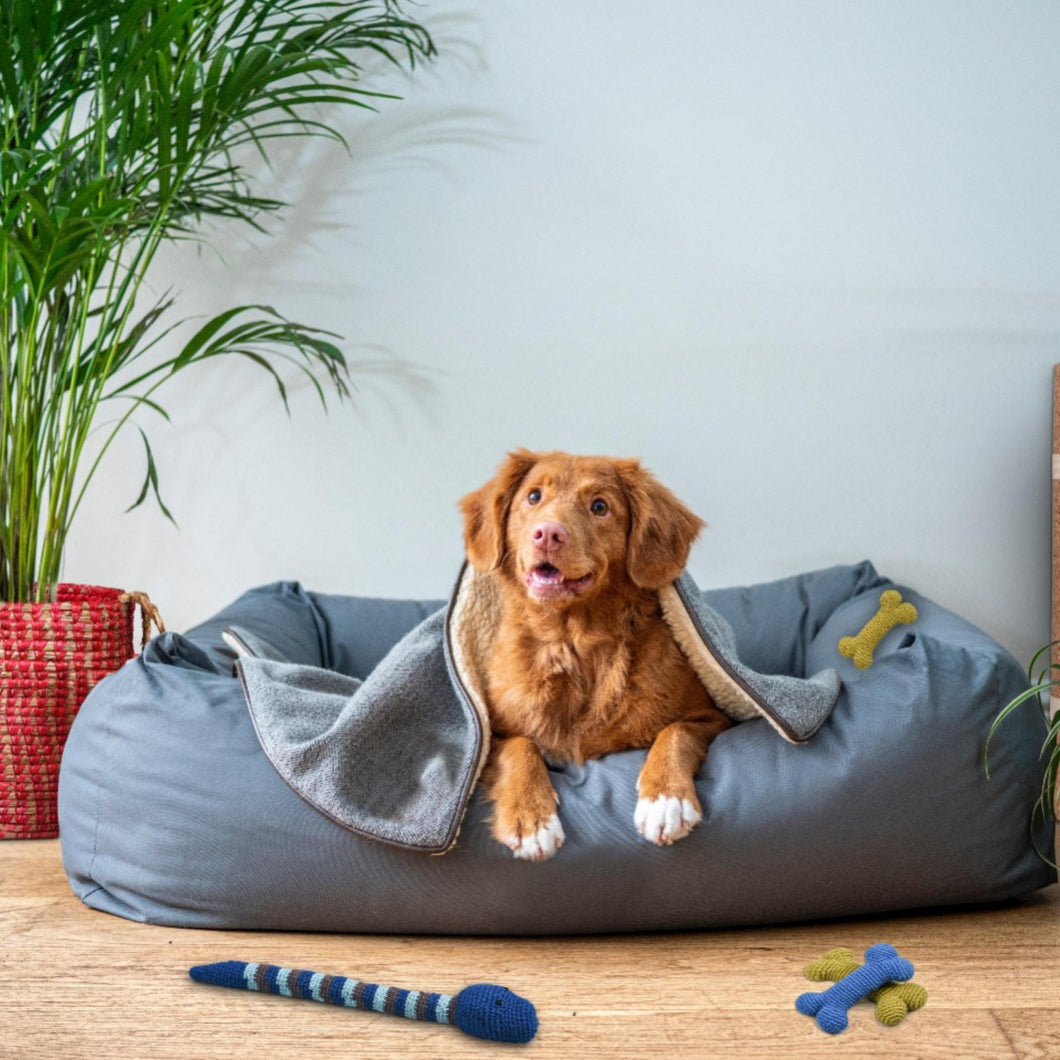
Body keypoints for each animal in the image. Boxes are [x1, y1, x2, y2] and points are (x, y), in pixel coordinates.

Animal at [459, 449, 733, 861]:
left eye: (600, 506)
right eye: (534, 497)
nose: (548, 534)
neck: (573, 640)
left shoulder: (713, 717)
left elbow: (676, 731)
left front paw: (665, 800)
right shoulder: (491, 734)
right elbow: (520, 746)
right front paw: (531, 817)